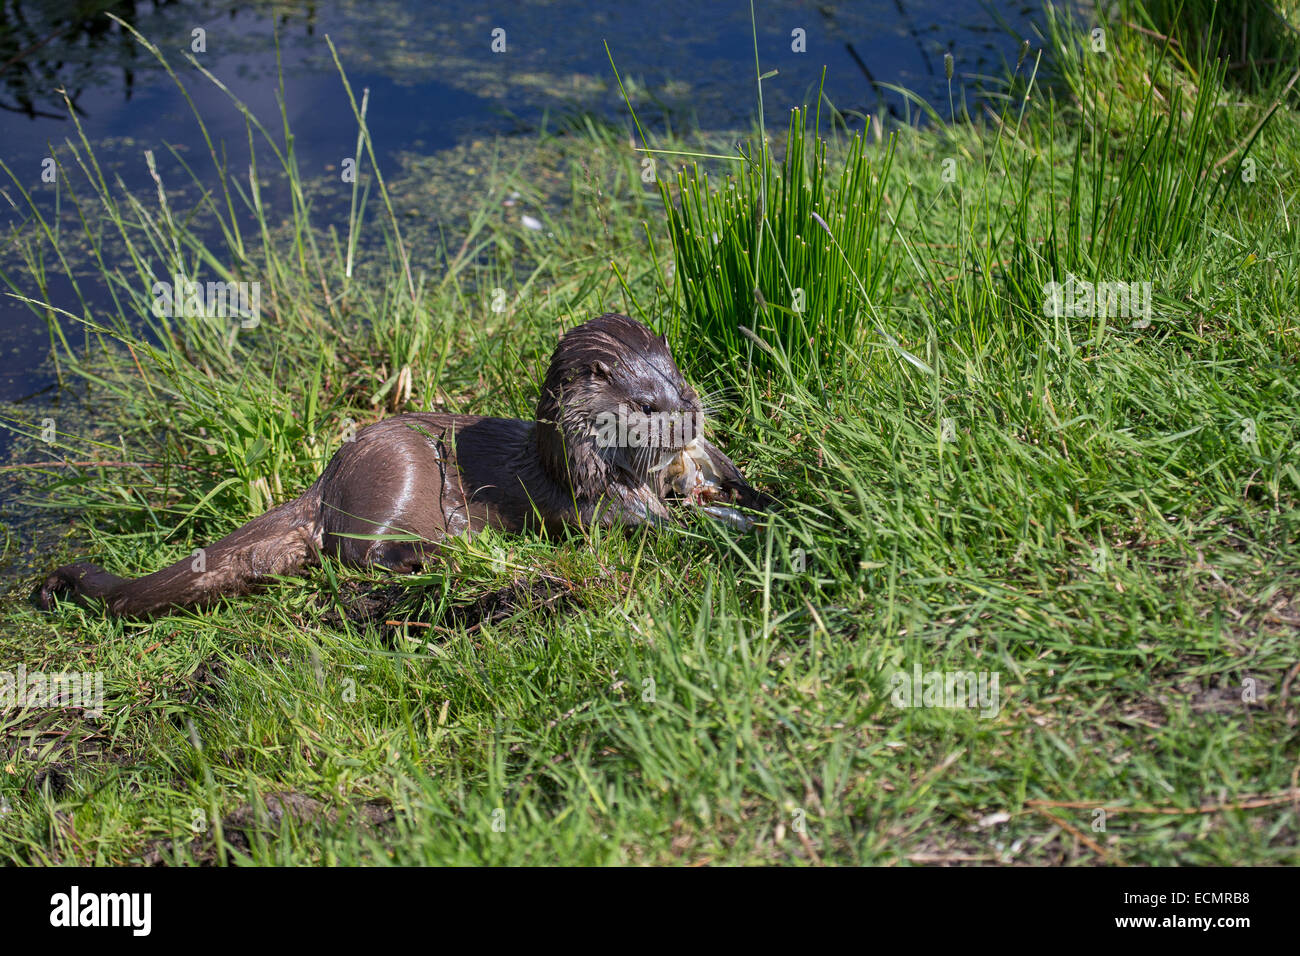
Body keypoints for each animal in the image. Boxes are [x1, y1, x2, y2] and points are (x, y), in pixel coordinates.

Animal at [33, 313, 772, 618]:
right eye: (646, 404)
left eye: (684, 386)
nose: (691, 418)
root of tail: (327, 478)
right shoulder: (597, 510)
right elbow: (669, 527)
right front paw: (751, 528)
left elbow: (729, 493)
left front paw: (762, 499)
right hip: (397, 474)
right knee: (357, 556)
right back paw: (448, 557)